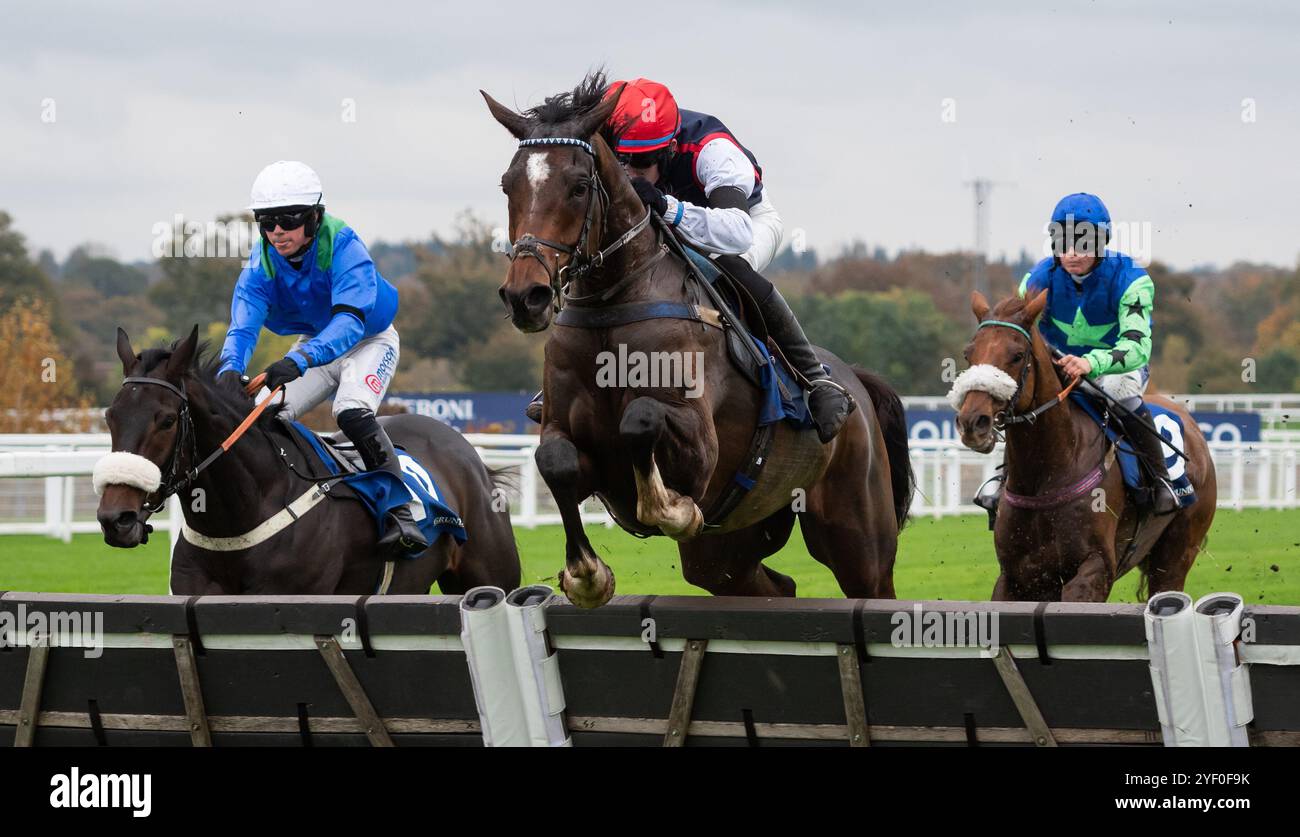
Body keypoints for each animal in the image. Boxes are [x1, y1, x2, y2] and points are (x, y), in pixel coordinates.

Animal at [480, 71, 915, 608]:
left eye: (579, 186)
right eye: (508, 185)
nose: (526, 296)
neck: (612, 306)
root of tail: (856, 381)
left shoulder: (698, 447)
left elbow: (640, 419)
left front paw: (667, 507)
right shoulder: (566, 433)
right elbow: (553, 460)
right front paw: (586, 575)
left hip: (858, 537)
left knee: (870, 583)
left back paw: (825, 399)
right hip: (726, 547)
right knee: (775, 586)